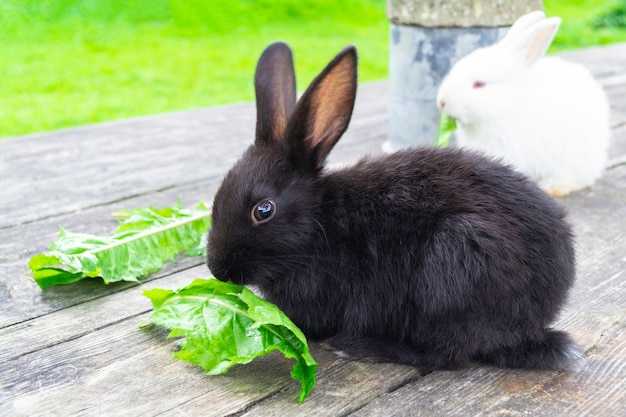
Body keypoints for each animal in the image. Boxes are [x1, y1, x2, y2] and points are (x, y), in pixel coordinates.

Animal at [206, 42, 580, 372]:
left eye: (263, 210)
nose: (217, 269)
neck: (317, 226)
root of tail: (535, 321)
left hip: (455, 263)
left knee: (447, 355)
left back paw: (362, 347)